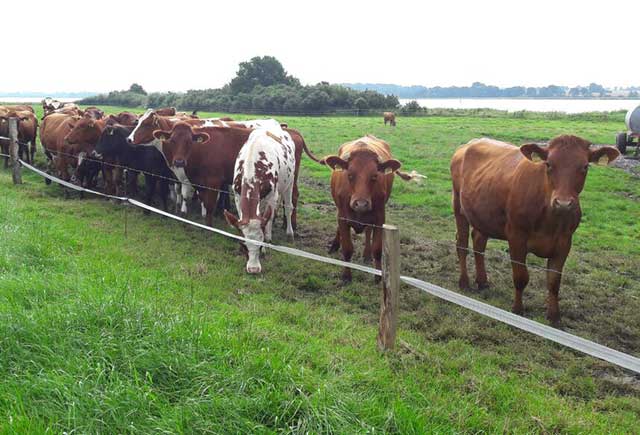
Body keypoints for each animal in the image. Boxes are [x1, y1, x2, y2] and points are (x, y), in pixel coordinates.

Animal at [224, 128, 297, 274]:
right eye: (244, 245)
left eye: (261, 243)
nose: (253, 269)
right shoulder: (237, 195)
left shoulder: (272, 196)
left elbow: (269, 219)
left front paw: (267, 242)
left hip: (290, 182)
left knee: (288, 207)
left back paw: (289, 233)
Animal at [322, 135, 422, 282]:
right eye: (349, 175)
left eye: (374, 176)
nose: (361, 204)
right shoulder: (342, 217)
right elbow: (347, 248)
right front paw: (346, 276)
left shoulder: (380, 218)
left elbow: (377, 249)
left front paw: (378, 276)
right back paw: (334, 246)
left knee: (368, 231)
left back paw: (366, 254)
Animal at [450, 135, 620, 323]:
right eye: (549, 164)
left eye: (585, 166)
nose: (563, 203)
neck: (550, 220)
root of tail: (469, 143)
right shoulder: (516, 237)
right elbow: (521, 277)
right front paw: (517, 310)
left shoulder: (564, 242)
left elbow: (554, 281)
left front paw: (554, 317)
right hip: (459, 207)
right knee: (462, 244)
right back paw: (464, 282)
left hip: (483, 214)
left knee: (478, 243)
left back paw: (482, 281)